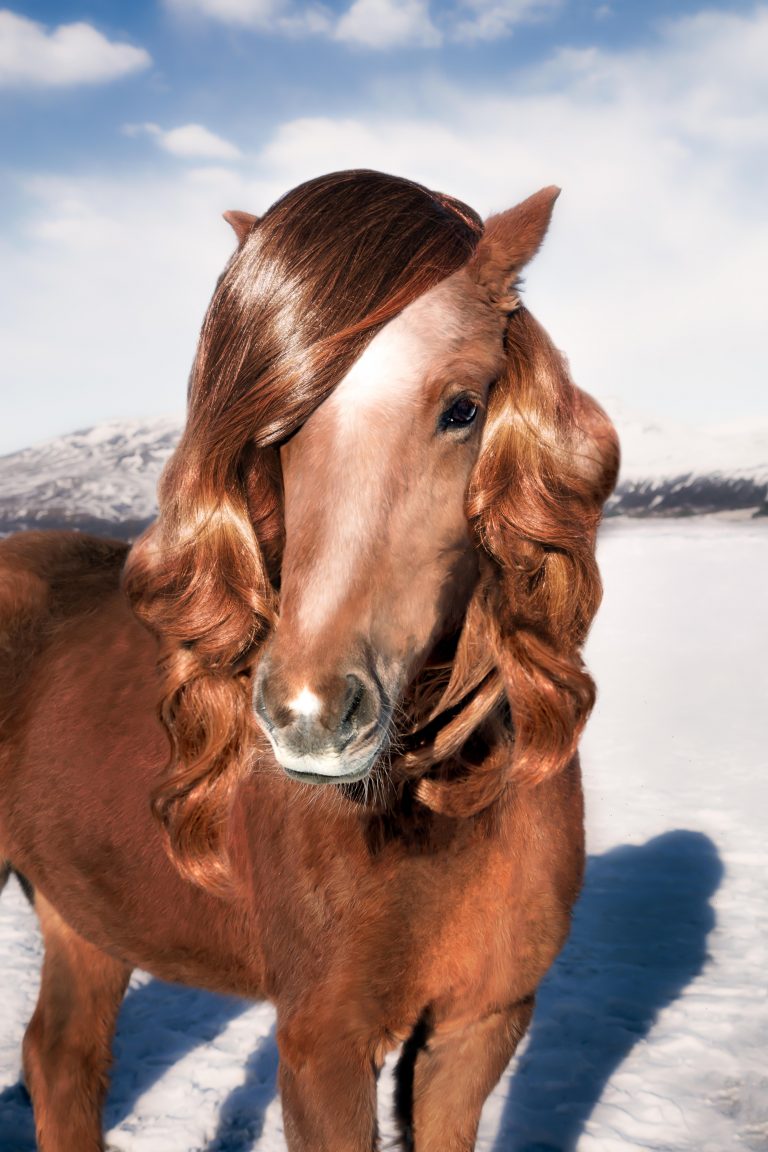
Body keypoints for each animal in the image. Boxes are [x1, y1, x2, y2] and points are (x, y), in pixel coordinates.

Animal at [0, 169, 619, 1152]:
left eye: (464, 408)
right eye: (277, 428)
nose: (307, 713)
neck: (438, 808)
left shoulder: (481, 1028)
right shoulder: (323, 1045)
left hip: (83, 914)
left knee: (61, 1060)